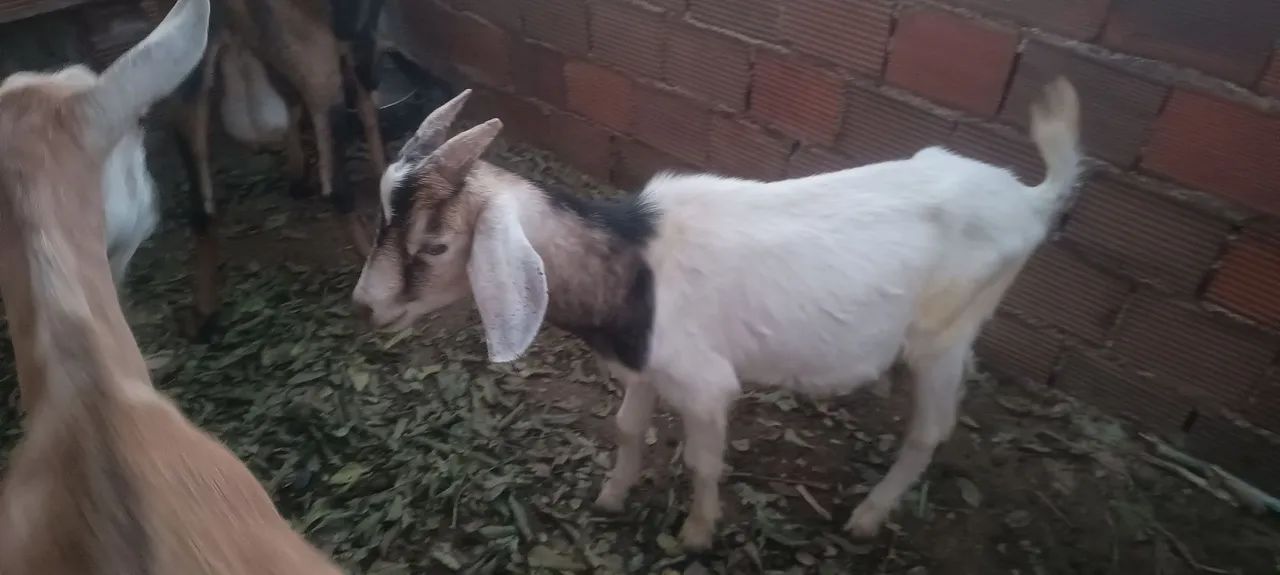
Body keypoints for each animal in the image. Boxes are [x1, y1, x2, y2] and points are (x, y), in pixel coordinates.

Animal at [171, 0, 386, 339]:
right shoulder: (355, 32)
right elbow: (366, 104)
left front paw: (298, 176)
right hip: (318, 65)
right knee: (336, 188)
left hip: (185, 90)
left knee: (202, 212)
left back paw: (202, 315)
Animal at [351, 79, 1082, 550]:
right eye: (383, 216)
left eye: (436, 244)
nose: (366, 305)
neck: (631, 262)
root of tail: (1034, 199)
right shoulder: (646, 366)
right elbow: (626, 428)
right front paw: (612, 496)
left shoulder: (704, 385)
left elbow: (704, 462)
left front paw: (696, 534)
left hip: (944, 334)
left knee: (931, 430)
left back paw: (869, 516)